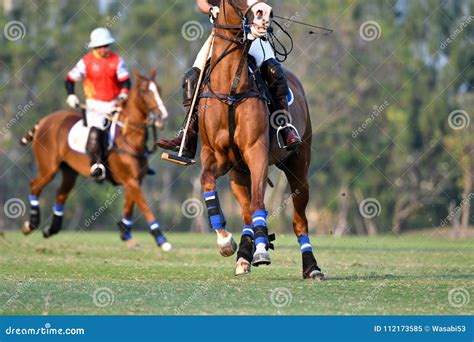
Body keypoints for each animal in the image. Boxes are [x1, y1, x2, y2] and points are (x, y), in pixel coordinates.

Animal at [20, 69, 172, 251]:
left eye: (159, 89)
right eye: (144, 91)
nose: (162, 116)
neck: (128, 137)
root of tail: (43, 121)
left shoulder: (134, 180)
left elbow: (129, 208)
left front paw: (126, 235)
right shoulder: (130, 180)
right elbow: (144, 206)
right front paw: (161, 239)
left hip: (69, 170)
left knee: (61, 193)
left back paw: (51, 229)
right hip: (48, 167)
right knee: (35, 186)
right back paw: (30, 225)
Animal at [198, 0, 324, 278]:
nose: (264, 14)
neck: (230, 88)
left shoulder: (256, 152)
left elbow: (258, 203)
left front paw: (261, 251)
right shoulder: (218, 156)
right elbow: (207, 182)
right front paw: (226, 242)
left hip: (298, 165)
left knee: (299, 220)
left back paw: (311, 267)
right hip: (238, 173)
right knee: (246, 212)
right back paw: (244, 256)